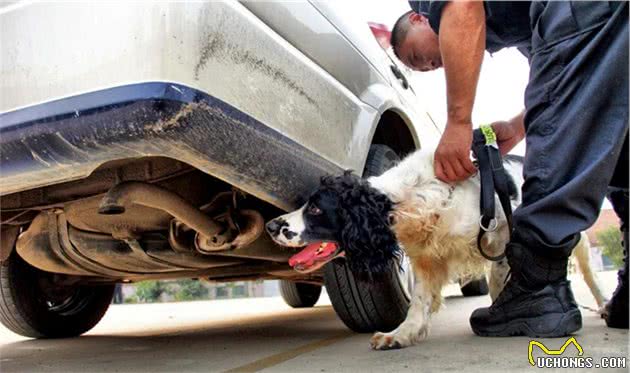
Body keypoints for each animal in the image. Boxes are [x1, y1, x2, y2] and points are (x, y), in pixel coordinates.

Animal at [266, 147, 608, 348]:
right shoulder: (427, 258)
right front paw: (401, 334)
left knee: (589, 273)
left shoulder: (499, 240)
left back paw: (604, 304)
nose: (271, 225)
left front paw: (503, 315)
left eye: (316, 209)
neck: (410, 199)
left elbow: (500, 284)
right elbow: (418, 301)